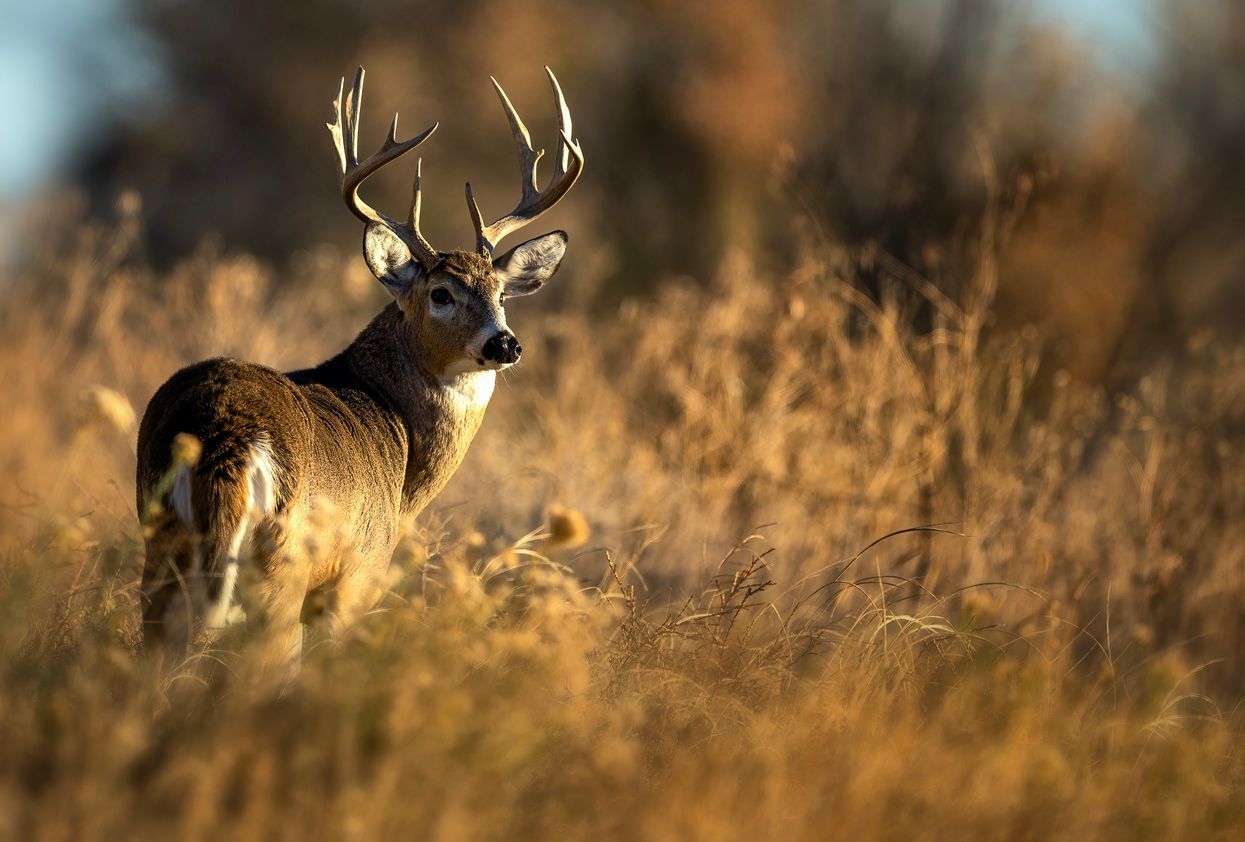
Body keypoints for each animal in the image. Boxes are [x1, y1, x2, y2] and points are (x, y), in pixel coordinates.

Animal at [135, 66, 583, 663]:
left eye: (502, 294)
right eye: (441, 293)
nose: (505, 344)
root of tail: (226, 437)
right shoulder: (358, 571)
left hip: (160, 545)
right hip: (281, 567)